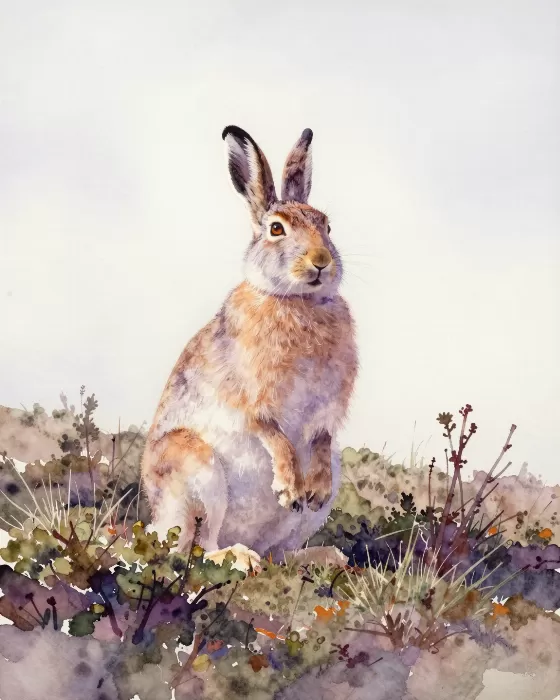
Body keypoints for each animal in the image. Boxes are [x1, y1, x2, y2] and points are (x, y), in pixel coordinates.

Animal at [141, 126, 358, 569]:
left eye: (327, 226)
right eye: (276, 229)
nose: (321, 261)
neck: (296, 301)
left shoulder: (327, 410)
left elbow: (320, 437)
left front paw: (311, 487)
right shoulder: (251, 395)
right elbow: (272, 433)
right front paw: (289, 486)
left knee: (282, 553)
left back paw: (327, 557)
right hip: (197, 473)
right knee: (197, 547)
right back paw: (240, 557)